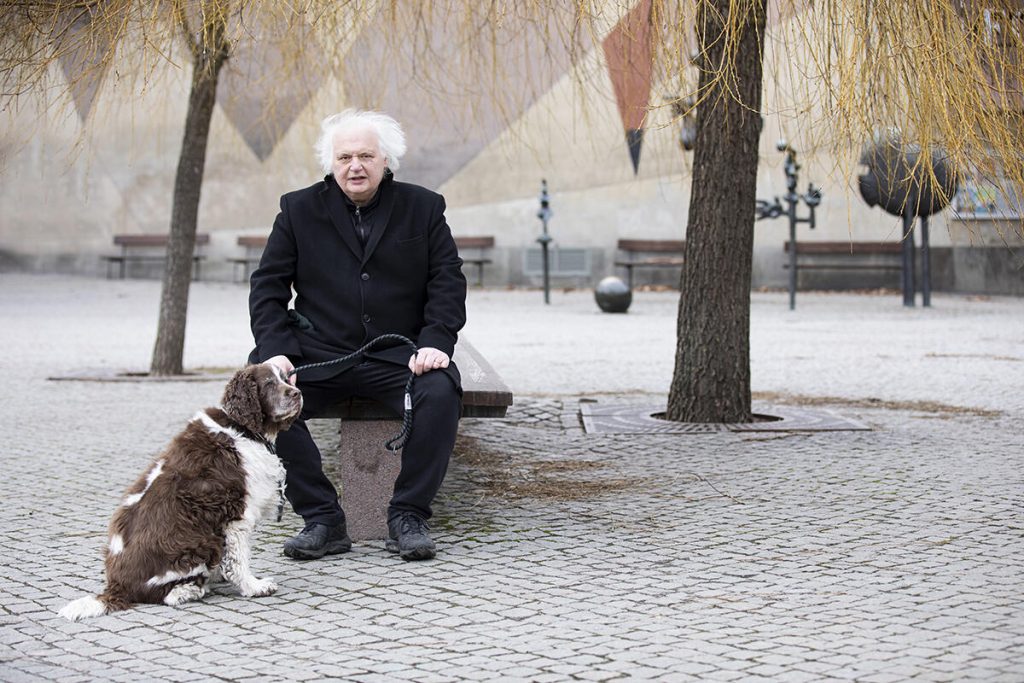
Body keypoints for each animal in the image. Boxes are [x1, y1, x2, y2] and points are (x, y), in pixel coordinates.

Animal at [58, 366, 299, 622]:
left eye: (286, 378)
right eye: (269, 383)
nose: (297, 393)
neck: (243, 428)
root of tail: (117, 587)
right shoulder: (236, 514)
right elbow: (238, 560)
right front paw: (254, 586)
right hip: (198, 544)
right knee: (164, 595)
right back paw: (189, 590)